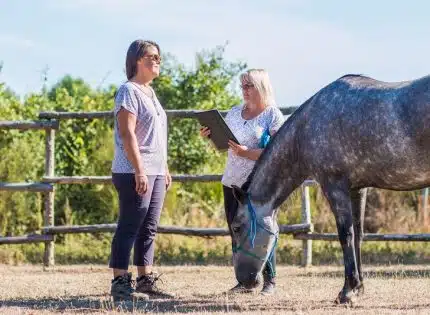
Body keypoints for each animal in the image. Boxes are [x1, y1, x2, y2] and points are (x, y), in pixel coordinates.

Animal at [230, 73, 430, 304]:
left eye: (237, 227)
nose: (244, 281)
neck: (305, 131)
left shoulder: (334, 186)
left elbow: (346, 235)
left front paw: (347, 292)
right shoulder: (357, 189)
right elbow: (358, 235)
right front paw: (359, 288)